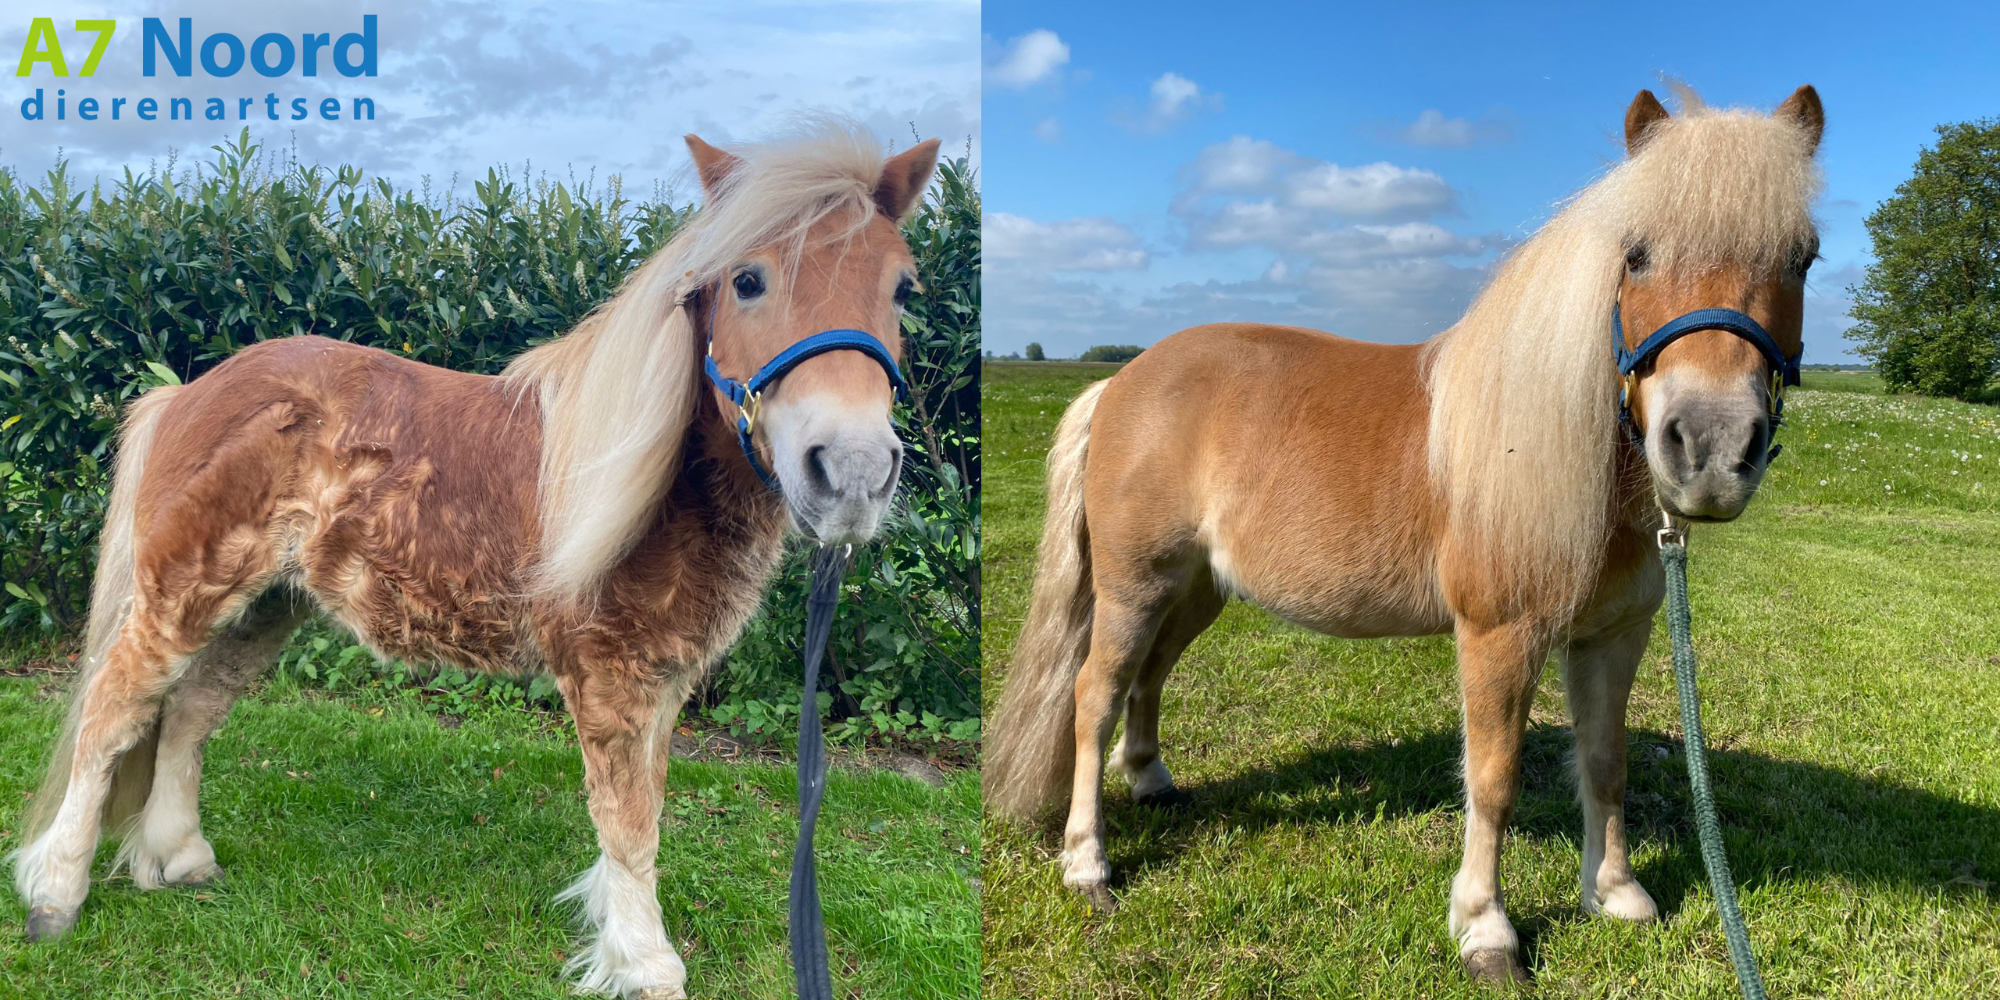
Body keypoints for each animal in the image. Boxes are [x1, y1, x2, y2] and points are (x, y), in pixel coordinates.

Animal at [11, 122, 941, 1000]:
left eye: (902, 286)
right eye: (747, 280)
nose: (852, 472)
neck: (640, 475)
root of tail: (187, 393)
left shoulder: (664, 683)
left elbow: (645, 810)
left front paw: (615, 940)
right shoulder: (607, 678)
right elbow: (628, 820)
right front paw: (647, 965)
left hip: (267, 604)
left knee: (190, 712)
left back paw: (179, 858)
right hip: (184, 590)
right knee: (114, 711)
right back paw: (55, 893)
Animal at [984, 85, 1824, 985]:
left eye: (1803, 258)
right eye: (1635, 254)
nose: (1710, 448)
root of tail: (1118, 381)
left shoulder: (1613, 637)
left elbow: (1606, 760)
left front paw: (1616, 894)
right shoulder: (1498, 635)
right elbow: (1493, 777)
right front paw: (1486, 929)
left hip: (1196, 590)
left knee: (1150, 677)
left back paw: (1153, 783)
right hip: (1133, 585)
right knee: (1094, 695)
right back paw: (1087, 865)